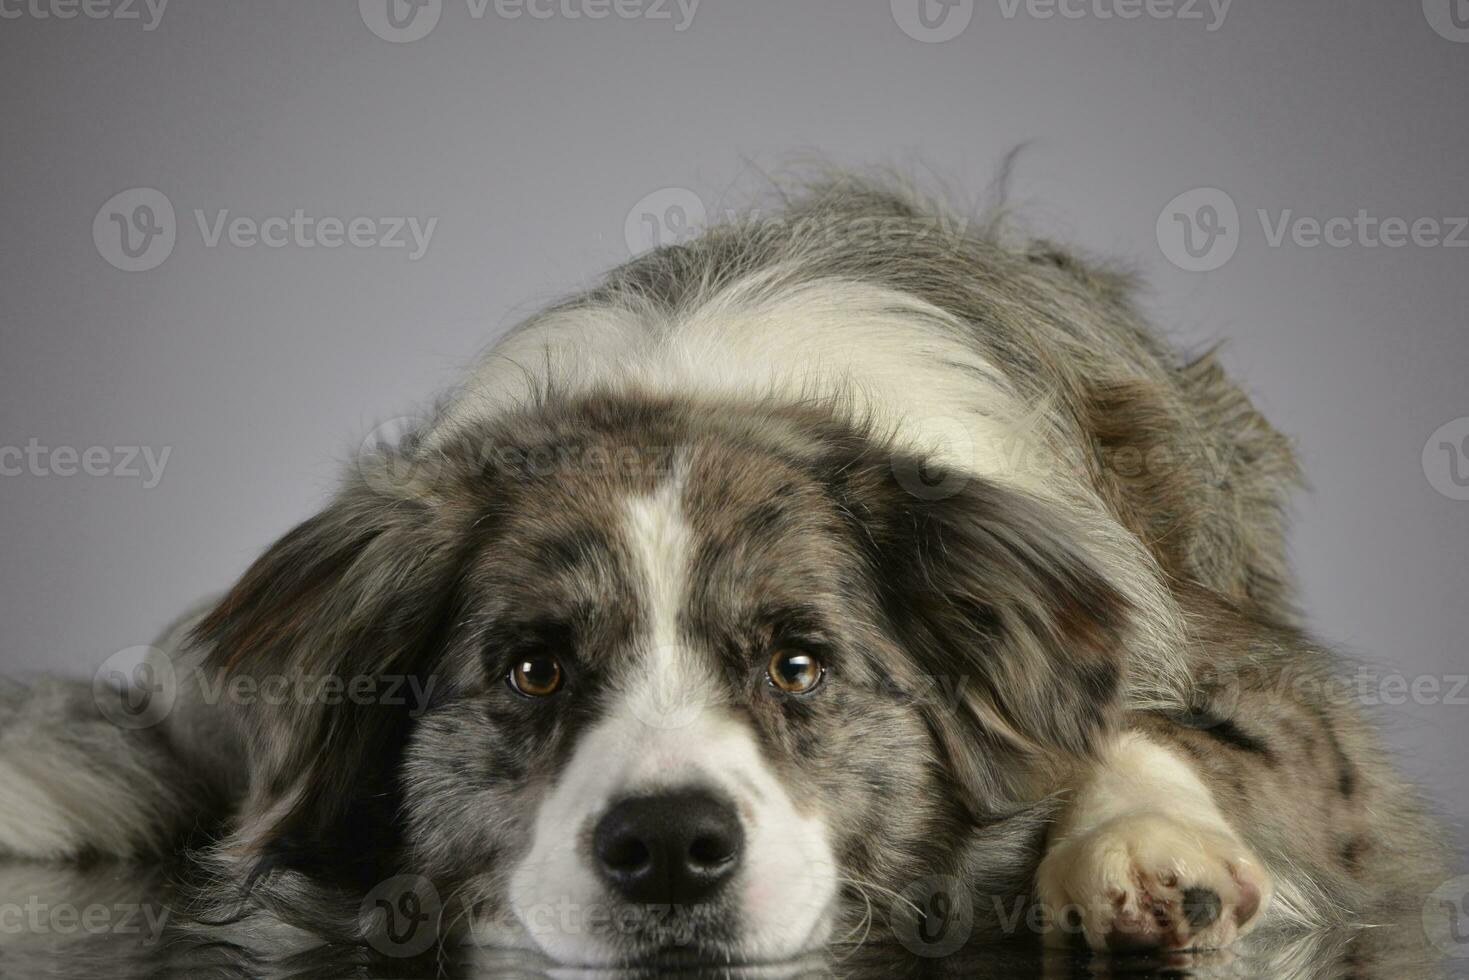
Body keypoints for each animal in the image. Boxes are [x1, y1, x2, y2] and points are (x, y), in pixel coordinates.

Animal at [0, 176, 1445, 963]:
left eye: (799, 666)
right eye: (531, 670)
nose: (665, 850)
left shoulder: (1263, 687)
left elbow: (1162, 729)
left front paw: (1138, 846)